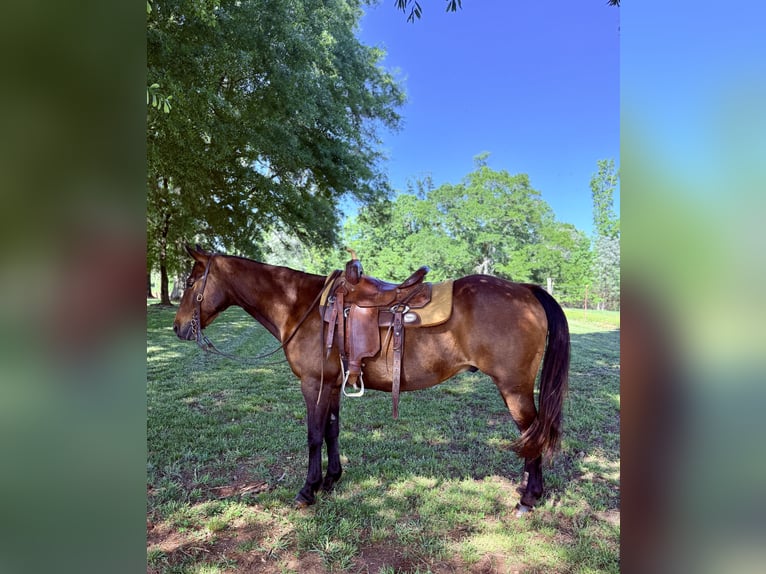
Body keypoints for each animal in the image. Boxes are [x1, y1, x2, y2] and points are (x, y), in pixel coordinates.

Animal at [172, 245, 570, 513]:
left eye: (190, 282)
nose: (178, 328)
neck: (300, 305)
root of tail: (524, 289)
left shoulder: (313, 383)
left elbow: (313, 435)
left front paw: (307, 490)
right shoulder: (332, 384)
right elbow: (331, 431)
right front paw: (331, 480)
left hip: (514, 389)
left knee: (532, 433)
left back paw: (528, 498)